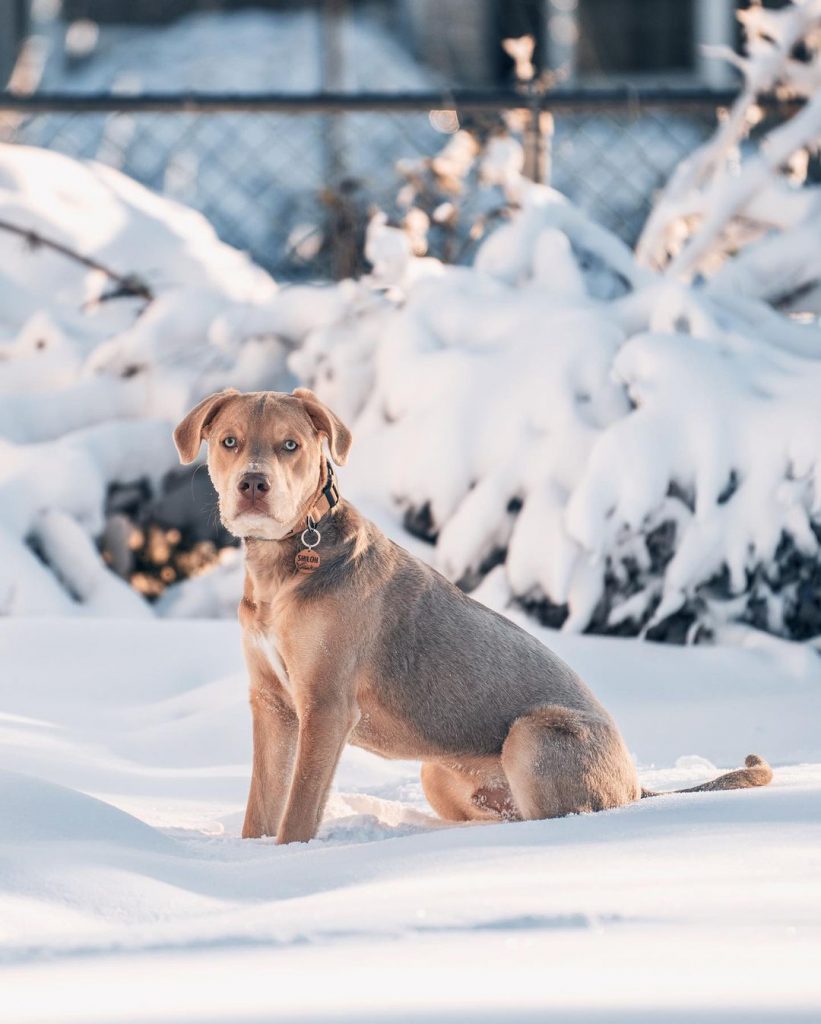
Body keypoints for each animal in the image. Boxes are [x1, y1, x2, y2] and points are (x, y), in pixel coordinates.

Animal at [170, 387, 769, 843]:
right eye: (228, 441)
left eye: (290, 445)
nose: (253, 483)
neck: (287, 562)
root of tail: (637, 785)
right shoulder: (274, 704)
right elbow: (262, 803)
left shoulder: (326, 705)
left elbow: (297, 809)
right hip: (439, 771)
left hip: (534, 735)